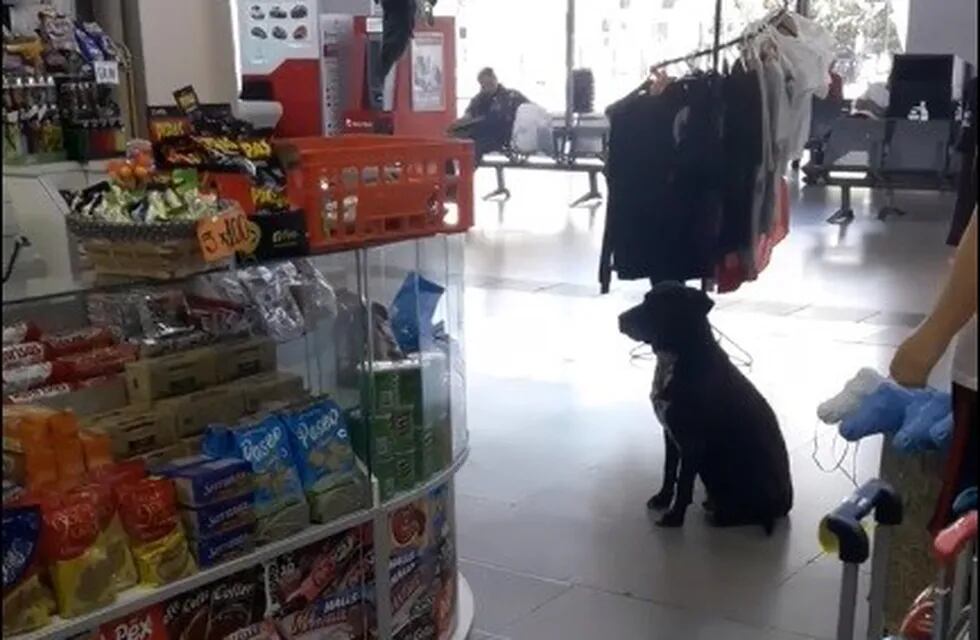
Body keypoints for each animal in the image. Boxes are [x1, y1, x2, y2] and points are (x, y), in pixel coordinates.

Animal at [620, 282, 796, 532]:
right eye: (646, 299)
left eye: (658, 305)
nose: (620, 319)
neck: (679, 356)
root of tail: (785, 506)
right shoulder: (670, 434)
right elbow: (669, 471)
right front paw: (662, 500)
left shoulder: (692, 442)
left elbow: (684, 483)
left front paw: (674, 518)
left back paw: (722, 513)